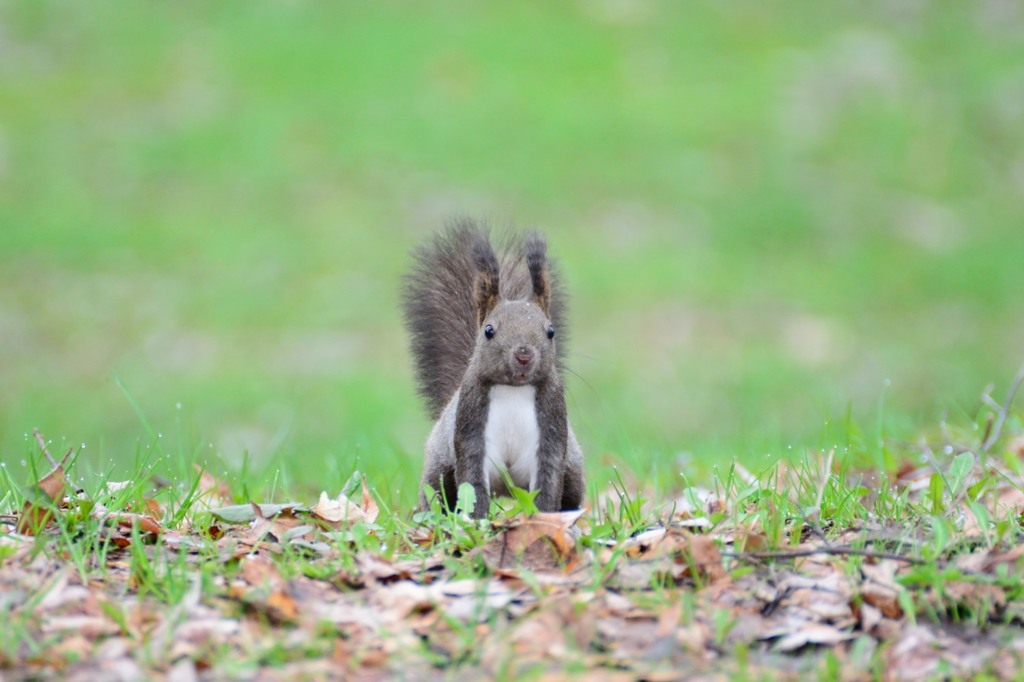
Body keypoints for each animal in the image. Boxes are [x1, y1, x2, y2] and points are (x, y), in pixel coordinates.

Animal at [403, 218, 589, 516]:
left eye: (550, 331)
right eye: (489, 331)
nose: (523, 355)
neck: (513, 390)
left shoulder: (551, 429)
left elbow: (548, 482)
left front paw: (542, 520)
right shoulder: (471, 429)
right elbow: (473, 483)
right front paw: (475, 521)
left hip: (572, 471)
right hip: (438, 469)